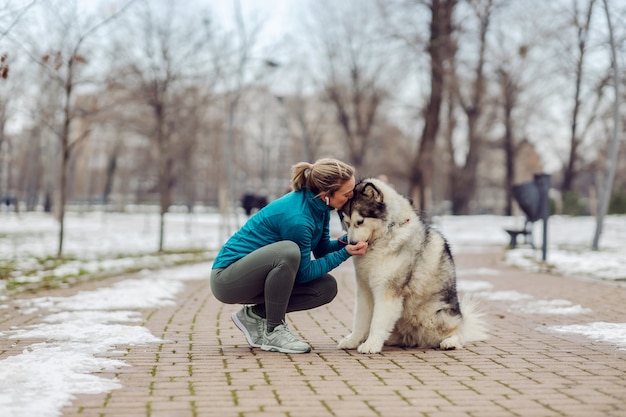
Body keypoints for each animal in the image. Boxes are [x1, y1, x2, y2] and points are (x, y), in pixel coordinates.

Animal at [336, 177, 488, 352]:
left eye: (360, 222)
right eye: (346, 222)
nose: (352, 244)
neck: (386, 233)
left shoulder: (387, 291)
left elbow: (377, 321)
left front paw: (371, 344)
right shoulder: (364, 289)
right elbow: (360, 320)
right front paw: (353, 340)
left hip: (435, 315)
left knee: (458, 333)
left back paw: (450, 342)